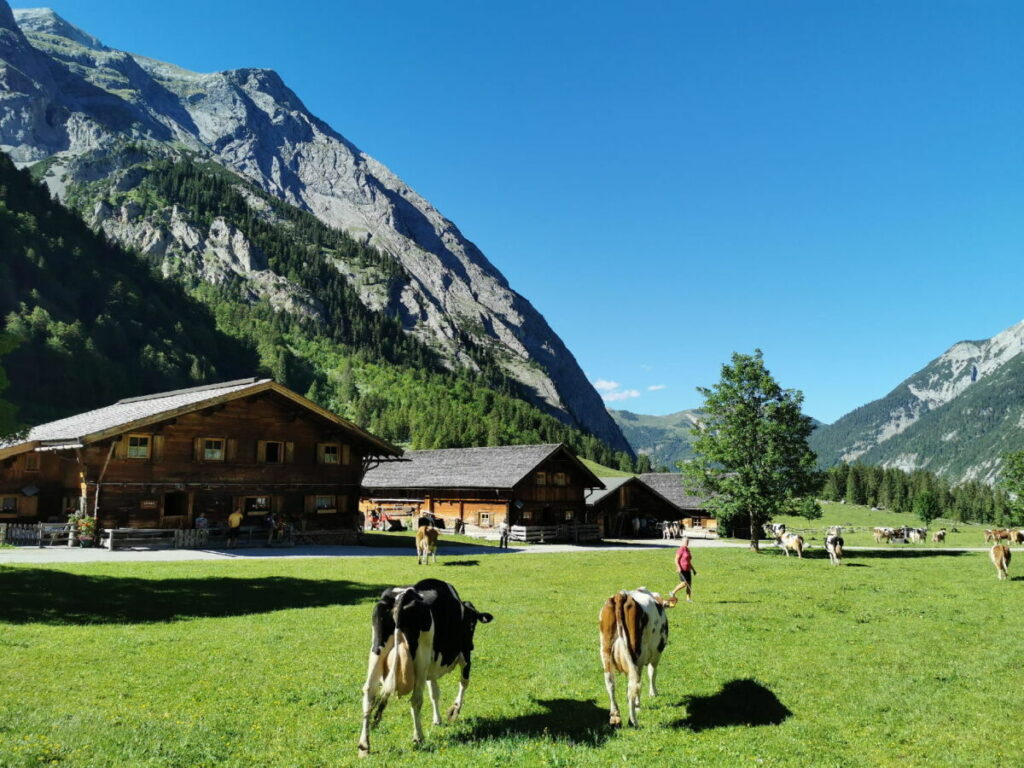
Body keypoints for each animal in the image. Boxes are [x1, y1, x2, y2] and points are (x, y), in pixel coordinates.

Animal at [356, 581, 491, 753]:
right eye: (473, 625)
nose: (473, 645)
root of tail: (403, 595)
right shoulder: (464, 654)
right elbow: (463, 682)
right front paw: (454, 711)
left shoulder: (430, 668)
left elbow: (434, 692)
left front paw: (437, 719)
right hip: (421, 658)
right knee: (416, 699)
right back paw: (418, 737)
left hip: (377, 650)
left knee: (369, 692)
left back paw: (364, 745)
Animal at [598, 589, 671, 729]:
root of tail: (622, 595)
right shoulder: (655, 654)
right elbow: (652, 673)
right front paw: (652, 694)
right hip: (636, 655)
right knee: (633, 685)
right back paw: (633, 721)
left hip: (605, 651)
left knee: (610, 682)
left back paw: (615, 716)